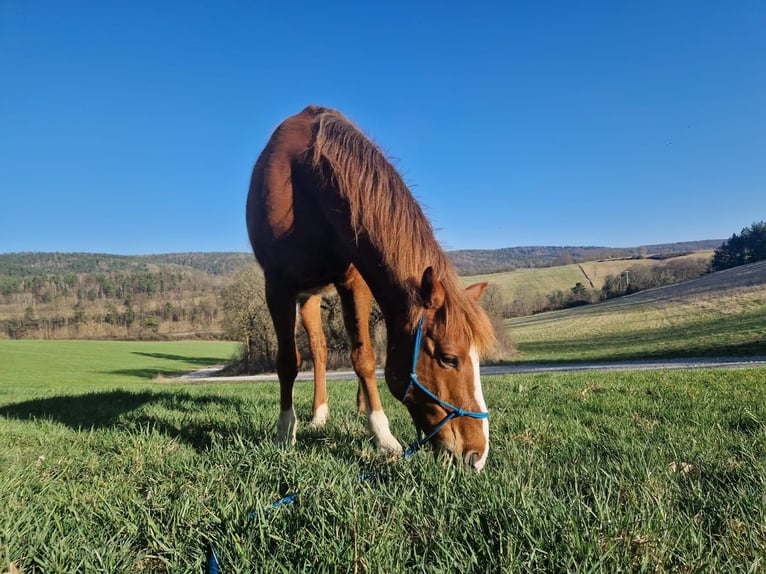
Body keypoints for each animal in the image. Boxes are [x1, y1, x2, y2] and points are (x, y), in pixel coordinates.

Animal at [246, 105, 495, 471]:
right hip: (307, 297)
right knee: (318, 350)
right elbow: (289, 361)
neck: (306, 184)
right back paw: (318, 415)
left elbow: (363, 357)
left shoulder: (354, 281)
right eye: (449, 358)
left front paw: (382, 435)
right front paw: (284, 432)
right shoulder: (277, 286)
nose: (477, 455)